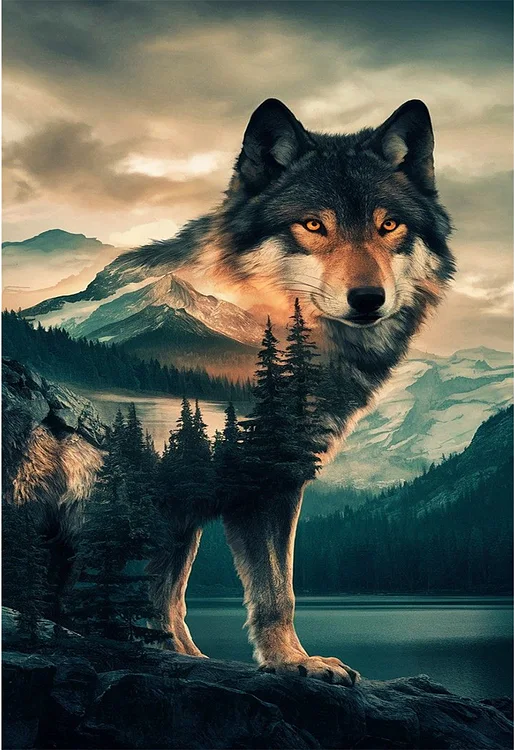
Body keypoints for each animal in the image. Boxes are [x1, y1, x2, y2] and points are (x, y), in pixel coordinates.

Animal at [118, 98, 455, 685]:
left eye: (389, 224)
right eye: (313, 225)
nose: (368, 298)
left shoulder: (269, 481)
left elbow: (254, 591)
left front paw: (288, 661)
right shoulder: (235, 477)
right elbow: (243, 588)